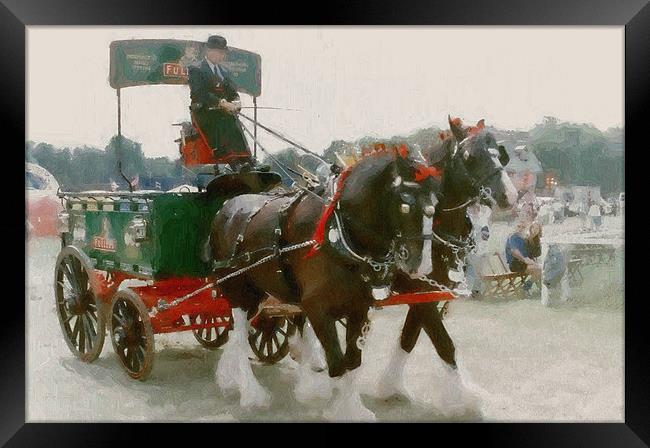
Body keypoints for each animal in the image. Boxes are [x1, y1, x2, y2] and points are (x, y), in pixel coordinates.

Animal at [208, 145, 440, 418]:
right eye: (405, 204)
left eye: (435, 205)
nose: (422, 266)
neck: (338, 235)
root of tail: (226, 207)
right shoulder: (317, 309)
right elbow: (337, 364)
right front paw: (340, 409)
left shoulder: (359, 307)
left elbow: (352, 362)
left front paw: (352, 407)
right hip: (238, 291)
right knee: (240, 339)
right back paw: (251, 394)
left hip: (258, 294)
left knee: (238, 335)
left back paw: (228, 378)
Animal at [370, 116, 516, 412]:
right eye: (470, 156)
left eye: (499, 155)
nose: (509, 195)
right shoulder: (417, 290)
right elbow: (443, 342)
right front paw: (462, 398)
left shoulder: (428, 292)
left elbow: (409, 337)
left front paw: (389, 386)